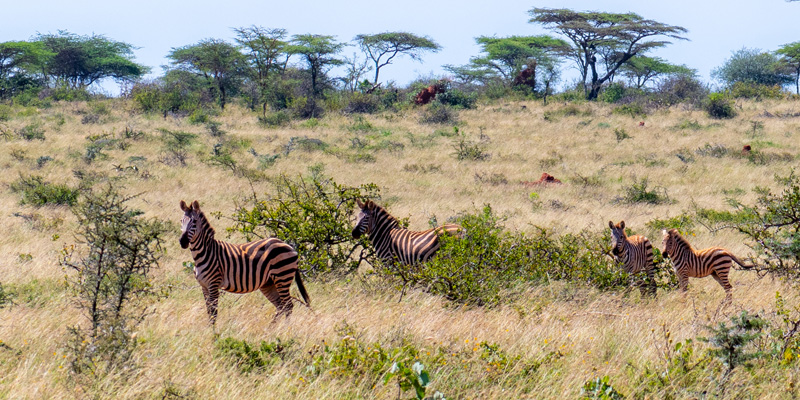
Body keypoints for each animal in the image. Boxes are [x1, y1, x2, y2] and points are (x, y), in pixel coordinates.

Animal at [179, 200, 310, 324]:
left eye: (194, 221)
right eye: (181, 221)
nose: (182, 242)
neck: (203, 254)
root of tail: (288, 245)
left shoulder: (213, 285)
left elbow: (213, 314)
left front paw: (214, 332)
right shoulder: (204, 286)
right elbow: (209, 312)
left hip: (282, 277)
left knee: (288, 306)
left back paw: (285, 329)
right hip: (268, 283)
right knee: (280, 306)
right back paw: (271, 329)